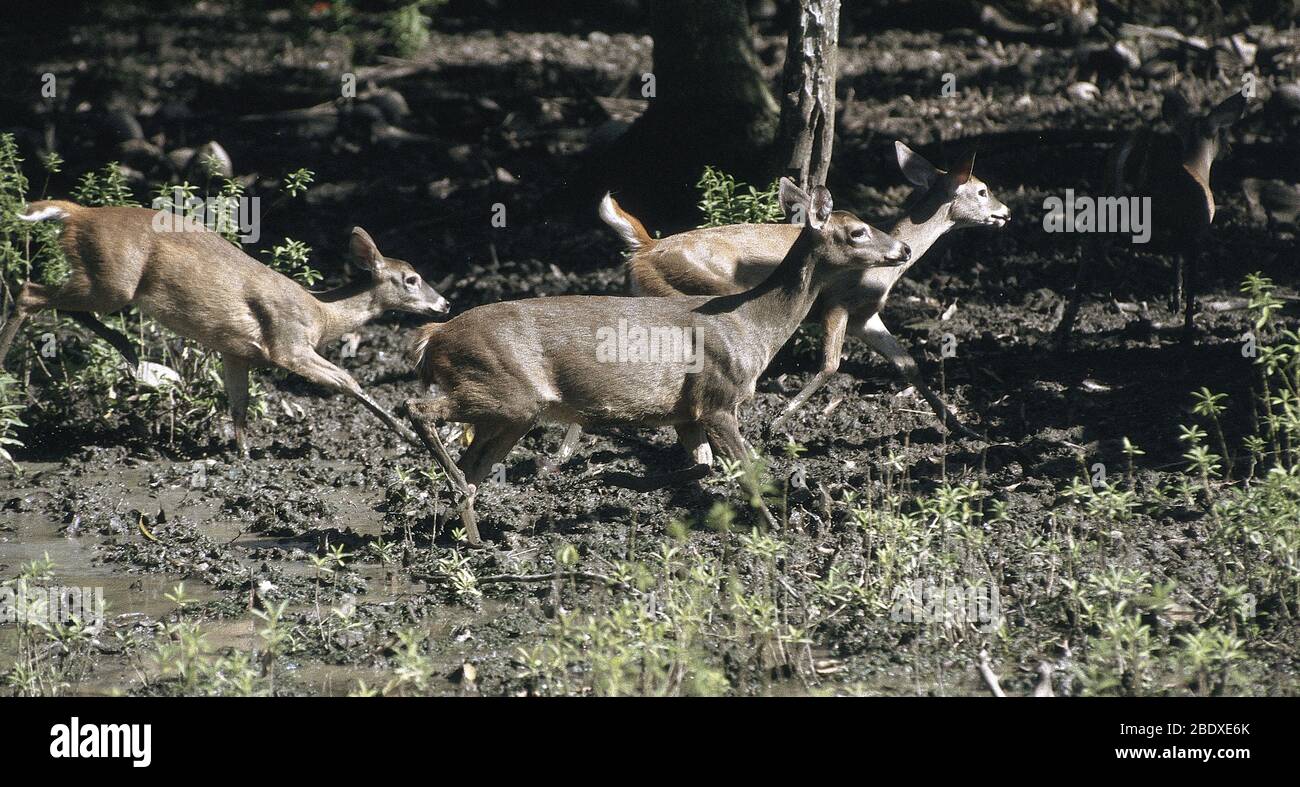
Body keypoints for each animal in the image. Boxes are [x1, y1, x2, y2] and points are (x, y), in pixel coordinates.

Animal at [0, 199, 449, 450]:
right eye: (411, 278)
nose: (444, 303)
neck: (322, 314)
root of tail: (78, 213)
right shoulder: (288, 345)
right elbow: (349, 382)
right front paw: (407, 436)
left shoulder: (236, 352)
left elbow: (238, 405)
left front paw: (244, 455)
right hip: (115, 282)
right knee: (28, 292)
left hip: (102, 281)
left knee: (50, 300)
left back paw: (128, 353)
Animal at [577, 140, 1003, 460]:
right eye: (983, 189)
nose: (1005, 211)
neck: (881, 277)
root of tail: (642, 250)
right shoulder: (836, 305)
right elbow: (830, 365)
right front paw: (778, 422)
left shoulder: (866, 316)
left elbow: (908, 364)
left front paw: (963, 428)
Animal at [1055, 90, 1248, 346]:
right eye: (1222, 132)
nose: (1230, 149)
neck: (1196, 165)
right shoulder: (1197, 231)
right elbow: (1193, 281)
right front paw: (1187, 331)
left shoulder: (1180, 231)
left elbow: (1176, 259)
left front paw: (1174, 301)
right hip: (1132, 208)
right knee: (1097, 244)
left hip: (1106, 197)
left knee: (1089, 241)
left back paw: (1067, 327)